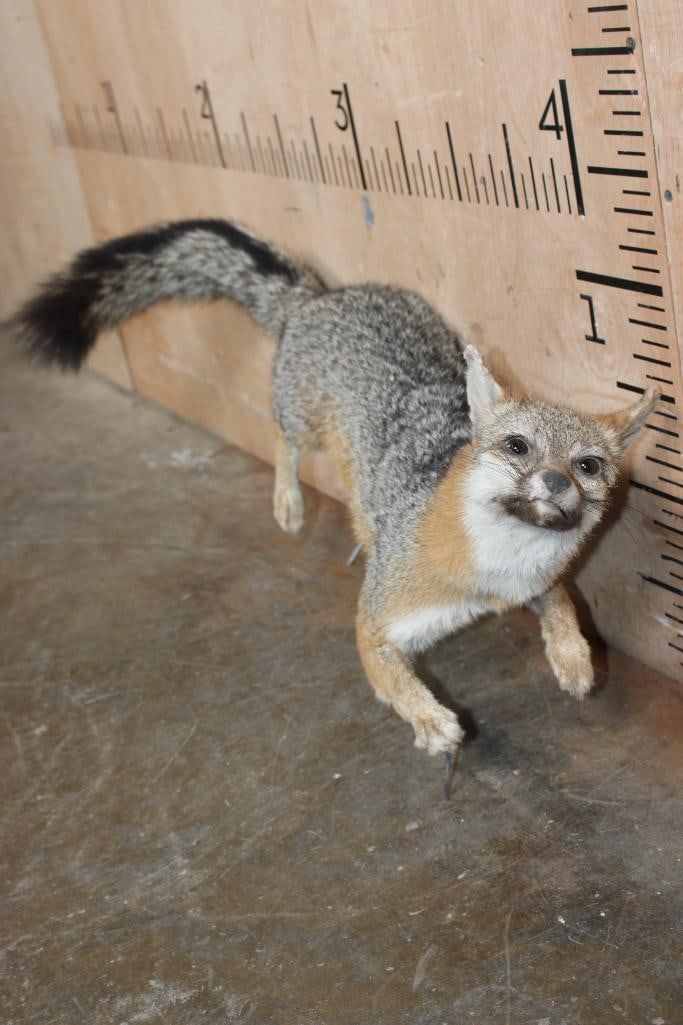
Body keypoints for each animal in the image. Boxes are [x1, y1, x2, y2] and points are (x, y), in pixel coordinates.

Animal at [10, 218, 657, 794]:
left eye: (588, 466)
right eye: (517, 446)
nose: (555, 481)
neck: (491, 575)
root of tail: (321, 296)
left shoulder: (534, 583)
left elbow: (563, 603)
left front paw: (574, 660)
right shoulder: (374, 621)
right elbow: (392, 680)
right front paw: (429, 719)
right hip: (305, 424)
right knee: (281, 438)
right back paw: (288, 500)